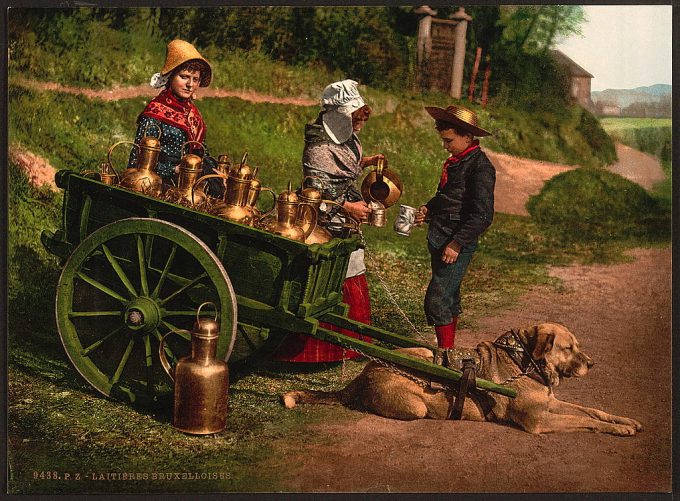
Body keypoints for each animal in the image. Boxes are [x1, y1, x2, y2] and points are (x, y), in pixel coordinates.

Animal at [282, 324, 644, 434]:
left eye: (577, 346)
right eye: (568, 348)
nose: (592, 364)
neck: (523, 361)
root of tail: (360, 376)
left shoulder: (551, 405)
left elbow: (592, 412)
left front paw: (624, 421)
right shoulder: (539, 420)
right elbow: (584, 420)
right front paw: (618, 429)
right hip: (414, 401)